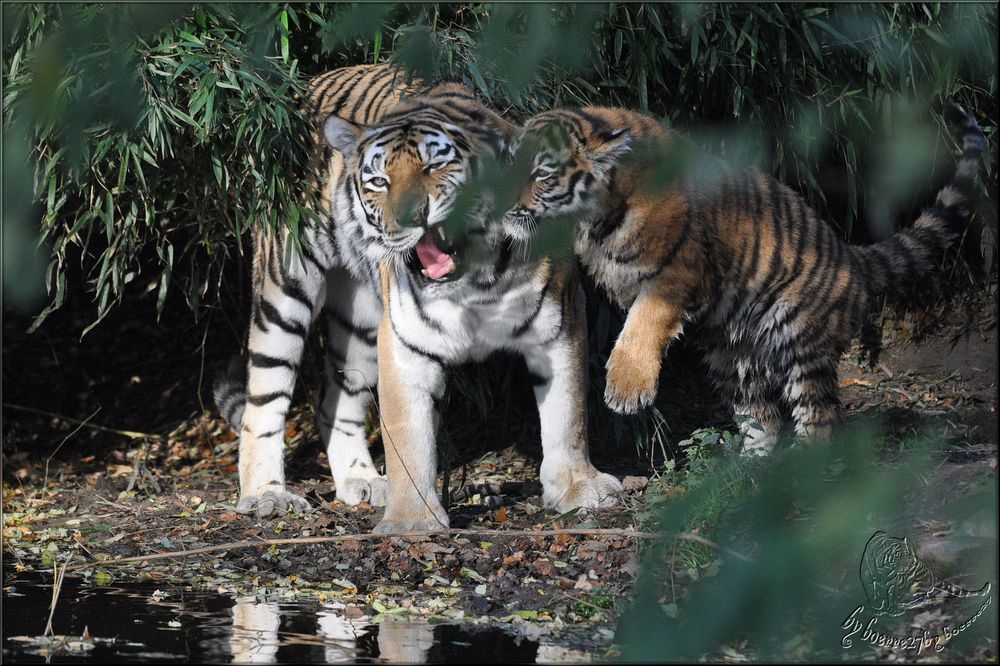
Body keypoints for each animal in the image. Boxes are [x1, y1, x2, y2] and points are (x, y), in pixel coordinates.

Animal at [212, 65, 620, 528]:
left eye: (435, 167)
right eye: (378, 181)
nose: (409, 218)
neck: (477, 281)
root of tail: (301, 91)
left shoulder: (561, 322)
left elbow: (568, 414)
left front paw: (578, 485)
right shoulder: (405, 345)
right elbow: (408, 436)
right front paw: (411, 519)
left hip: (361, 319)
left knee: (334, 399)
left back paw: (362, 480)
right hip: (283, 292)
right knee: (262, 402)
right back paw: (266, 494)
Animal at [500, 102, 984, 452]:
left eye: (541, 173)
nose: (498, 204)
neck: (595, 216)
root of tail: (851, 256)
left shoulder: (678, 272)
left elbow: (643, 323)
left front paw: (626, 388)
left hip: (801, 344)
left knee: (821, 418)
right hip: (734, 360)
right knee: (761, 418)